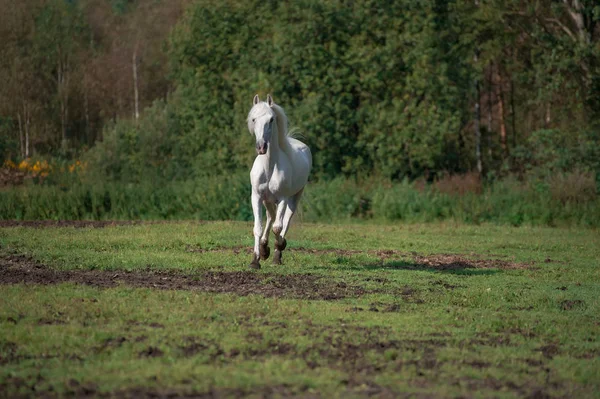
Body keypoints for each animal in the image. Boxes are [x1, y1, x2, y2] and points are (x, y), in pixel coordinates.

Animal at [248, 94, 314, 270]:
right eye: (253, 119)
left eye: (271, 119)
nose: (261, 147)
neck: (269, 167)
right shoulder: (256, 197)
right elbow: (258, 228)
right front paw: (256, 259)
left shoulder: (283, 198)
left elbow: (278, 228)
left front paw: (279, 248)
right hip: (268, 200)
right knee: (271, 217)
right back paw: (264, 248)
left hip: (294, 197)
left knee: (285, 221)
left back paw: (277, 252)